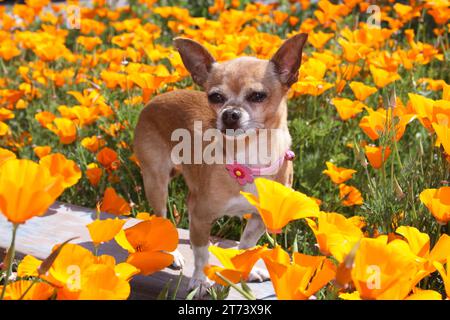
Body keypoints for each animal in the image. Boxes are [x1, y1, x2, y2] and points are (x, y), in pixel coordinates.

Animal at [134, 33, 308, 292]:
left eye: (258, 95)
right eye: (215, 97)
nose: (230, 114)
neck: (248, 159)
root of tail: (158, 97)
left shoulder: (258, 220)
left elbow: (246, 246)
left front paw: (243, 271)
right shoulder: (201, 215)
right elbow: (202, 253)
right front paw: (199, 280)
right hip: (156, 182)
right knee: (161, 217)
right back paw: (173, 253)